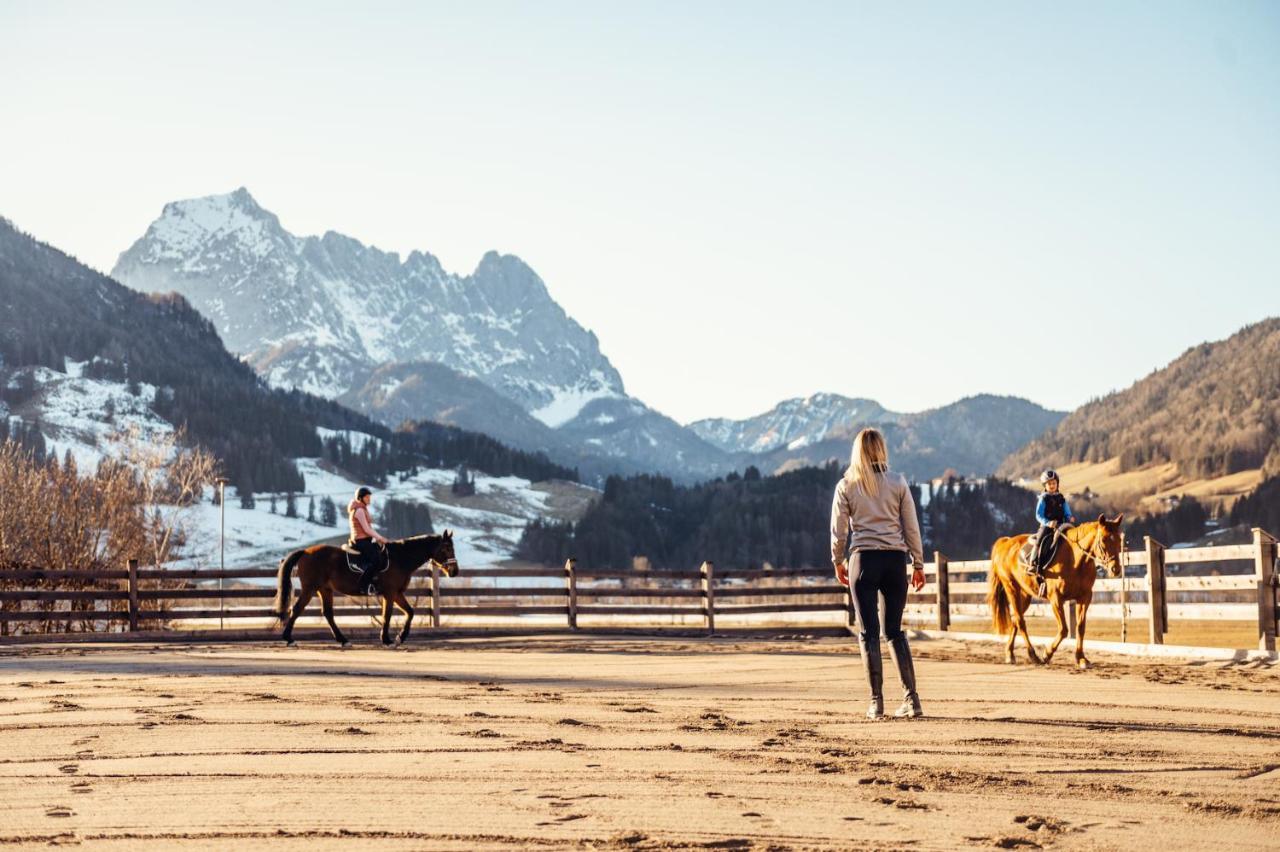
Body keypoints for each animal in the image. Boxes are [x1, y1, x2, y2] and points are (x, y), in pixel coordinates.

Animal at [270, 527, 460, 647]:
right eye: (447, 548)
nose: (455, 571)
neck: (400, 558)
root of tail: (305, 551)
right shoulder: (390, 593)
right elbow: (387, 615)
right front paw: (387, 640)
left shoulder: (397, 593)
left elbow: (410, 612)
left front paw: (400, 637)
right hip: (310, 588)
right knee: (297, 609)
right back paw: (289, 639)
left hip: (324, 589)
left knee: (328, 613)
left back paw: (343, 640)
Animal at [988, 514, 1121, 665]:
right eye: (1104, 539)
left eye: (1119, 539)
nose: (1115, 569)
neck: (1075, 560)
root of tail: (1005, 543)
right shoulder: (1056, 599)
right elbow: (1063, 629)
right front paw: (1047, 653)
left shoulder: (1085, 597)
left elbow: (1080, 627)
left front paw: (1081, 658)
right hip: (1011, 589)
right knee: (1021, 622)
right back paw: (1032, 655)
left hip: (1025, 595)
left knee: (1016, 619)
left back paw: (1010, 653)